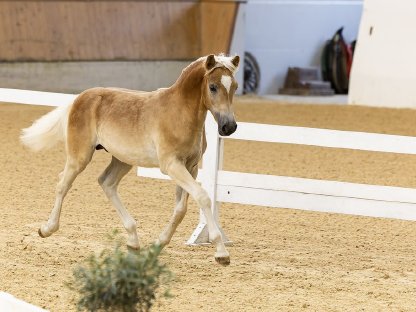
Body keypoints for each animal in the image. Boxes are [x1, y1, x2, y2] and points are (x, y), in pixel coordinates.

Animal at [20, 53, 240, 266]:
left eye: (235, 86)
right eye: (212, 87)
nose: (229, 127)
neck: (179, 112)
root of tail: (79, 98)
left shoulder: (190, 167)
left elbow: (180, 209)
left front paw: (157, 245)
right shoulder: (171, 165)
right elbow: (202, 197)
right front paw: (221, 253)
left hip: (122, 159)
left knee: (106, 182)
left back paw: (133, 241)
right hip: (80, 156)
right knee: (62, 184)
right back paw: (46, 229)